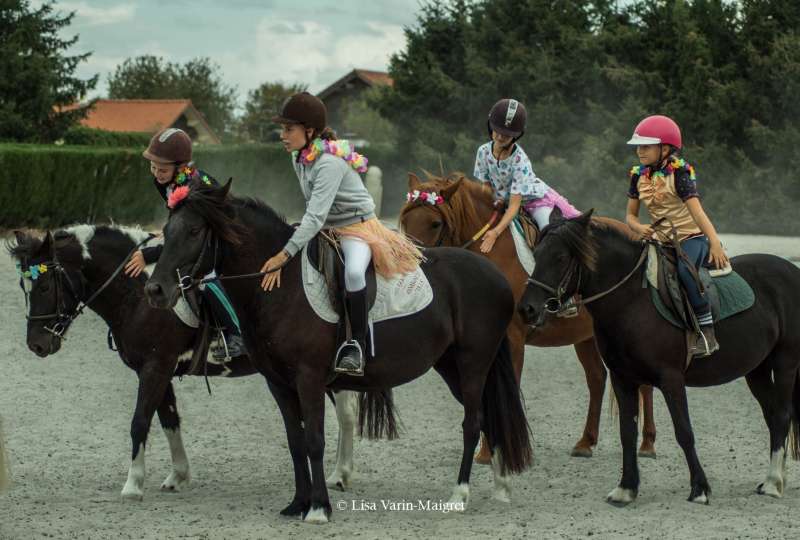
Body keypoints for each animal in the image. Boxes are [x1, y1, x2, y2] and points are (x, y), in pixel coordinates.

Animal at [6, 224, 360, 498]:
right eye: (25, 286)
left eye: (45, 285)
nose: (36, 344)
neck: (137, 293)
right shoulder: (156, 370)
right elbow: (169, 421)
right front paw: (177, 475)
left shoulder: (156, 367)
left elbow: (139, 421)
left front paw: (133, 484)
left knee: (346, 415)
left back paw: (340, 474)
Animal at [400, 174, 656, 460]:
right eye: (405, 220)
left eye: (435, 223)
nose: (410, 262)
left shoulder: (512, 340)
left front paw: (489, 451)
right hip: (586, 337)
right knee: (597, 378)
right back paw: (585, 442)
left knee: (643, 385)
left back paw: (647, 443)